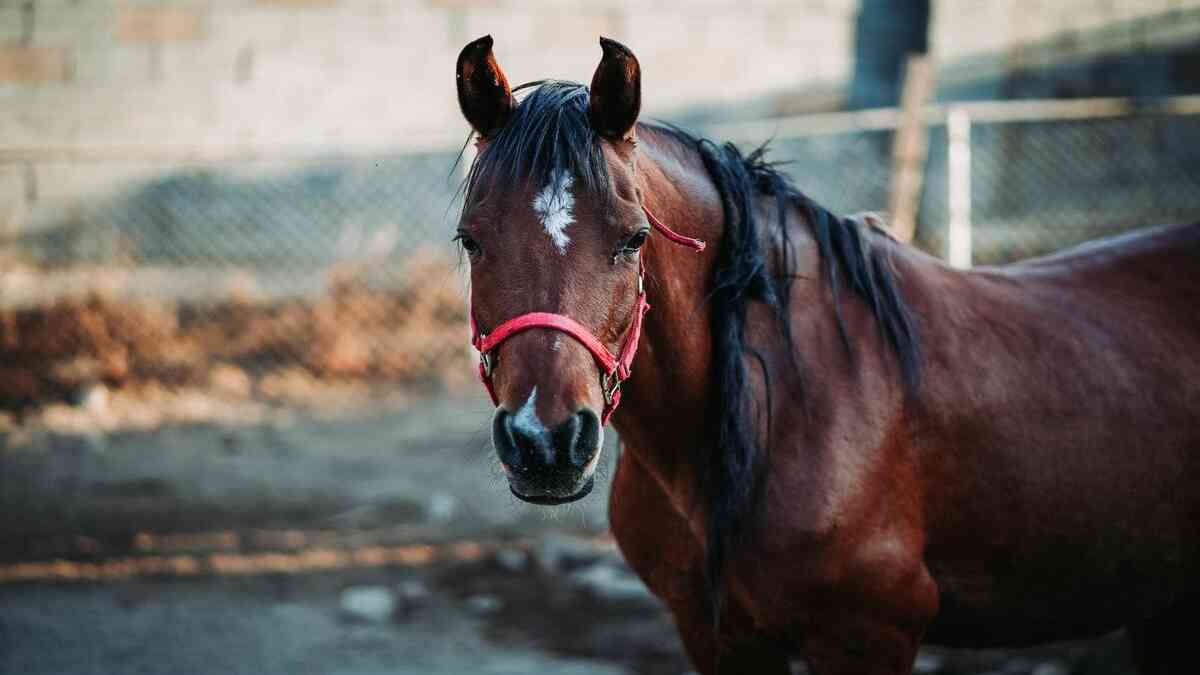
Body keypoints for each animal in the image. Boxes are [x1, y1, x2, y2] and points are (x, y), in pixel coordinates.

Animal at [451, 36, 1200, 672]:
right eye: (471, 239)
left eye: (634, 238)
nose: (545, 441)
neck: (777, 407)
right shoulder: (715, 635)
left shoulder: (866, 635)